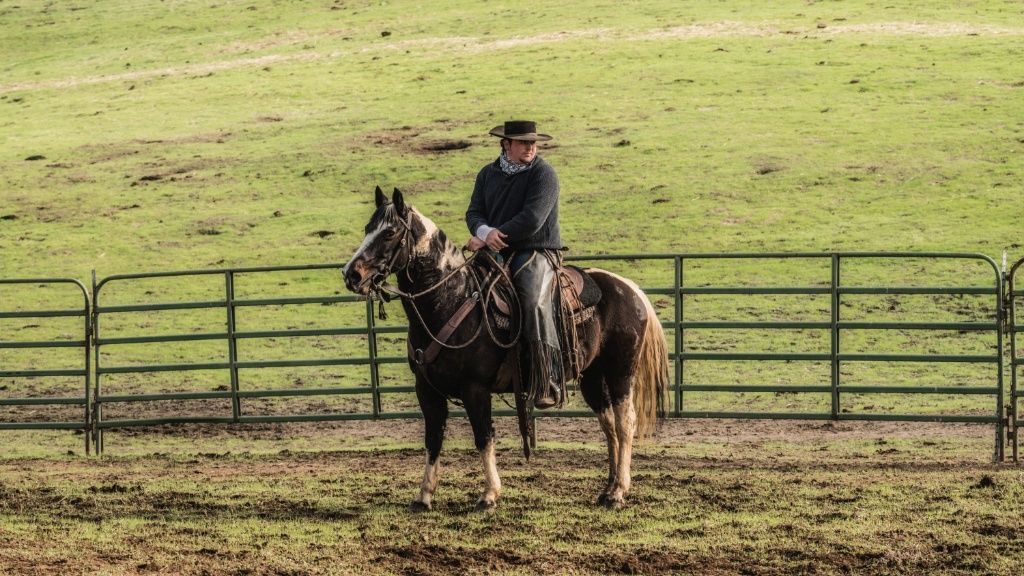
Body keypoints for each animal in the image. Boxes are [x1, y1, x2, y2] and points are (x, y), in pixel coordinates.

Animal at [339, 186, 667, 508]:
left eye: (390, 232)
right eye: (368, 228)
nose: (351, 274)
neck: (451, 301)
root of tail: (629, 288)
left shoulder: (475, 388)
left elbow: (483, 436)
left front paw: (489, 494)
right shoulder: (426, 389)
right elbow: (433, 438)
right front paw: (424, 496)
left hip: (620, 372)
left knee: (625, 424)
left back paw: (618, 492)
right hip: (593, 377)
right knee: (608, 424)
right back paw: (607, 488)